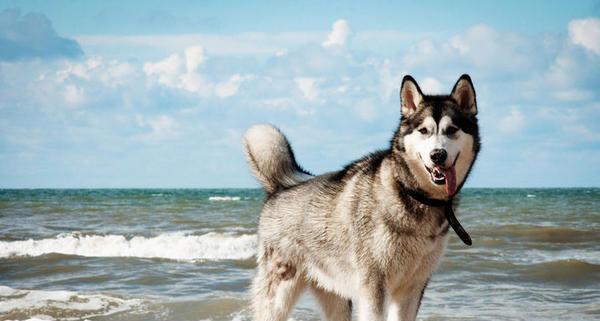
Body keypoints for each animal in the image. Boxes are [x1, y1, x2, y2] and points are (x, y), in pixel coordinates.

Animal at [241, 74, 480, 320]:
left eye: (451, 129)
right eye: (424, 131)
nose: (437, 155)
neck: (412, 193)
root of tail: (280, 187)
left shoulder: (413, 287)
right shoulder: (373, 285)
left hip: (336, 294)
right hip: (280, 293)